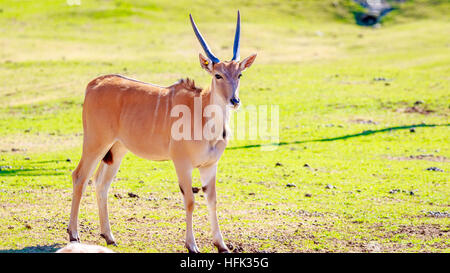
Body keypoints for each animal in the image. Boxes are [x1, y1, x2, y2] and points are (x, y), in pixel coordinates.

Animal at [67, 11, 256, 253]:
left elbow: (212, 200)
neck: (202, 113)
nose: (234, 100)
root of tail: (94, 83)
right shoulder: (182, 164)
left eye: (239, 74)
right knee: (80, 176)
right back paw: (74, 234)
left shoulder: (209, 166)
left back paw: (109, 236)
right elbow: (190, 201)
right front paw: (191, 245)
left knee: (101, 183)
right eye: (218, 75)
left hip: (117, 150)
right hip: (95, 143)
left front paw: (221, 244)